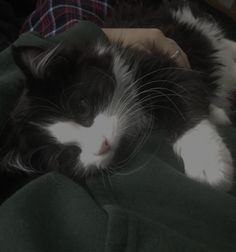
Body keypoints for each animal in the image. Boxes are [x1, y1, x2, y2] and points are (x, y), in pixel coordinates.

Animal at [0, 1, 236, 191]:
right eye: (67, 155)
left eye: (82, 108)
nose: (103, 144)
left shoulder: (155, 63)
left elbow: (183, 97)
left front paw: (208, 163)